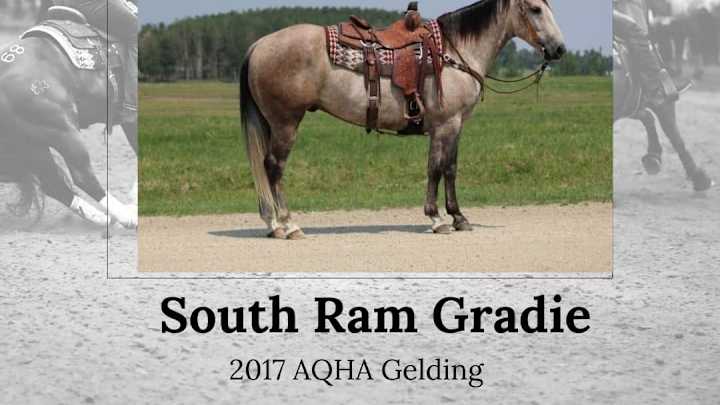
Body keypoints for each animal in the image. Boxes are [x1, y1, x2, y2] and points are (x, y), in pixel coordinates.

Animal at [0, 10, 138, 229]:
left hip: (30, 144)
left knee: (54, 184)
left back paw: (105, 219)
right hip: (63, 131)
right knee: (82, 177)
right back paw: (127, 217)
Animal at [241, 0, 566, 239]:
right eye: (535, 9)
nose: (559, 49)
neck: (455, 52)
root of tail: (258, 45)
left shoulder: (455, 126)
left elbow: (450, 169)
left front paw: (459, 217)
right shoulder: (445, 125)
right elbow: (436, 169)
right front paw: (437, 219)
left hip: (272, 123)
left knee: (265, 167)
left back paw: (273, 225)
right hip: (285, 123)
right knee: (274, 167)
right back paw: (288, 224)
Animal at [613, 36, 713, 192]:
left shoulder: (630, 104)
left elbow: (647, 117)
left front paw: (653, 156)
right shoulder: (662, 103)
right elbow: (675, 136)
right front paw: (699, 177)